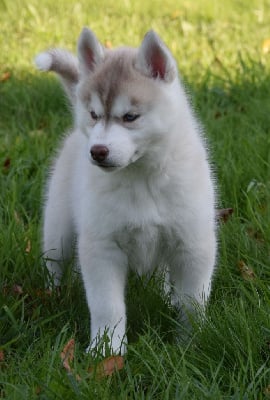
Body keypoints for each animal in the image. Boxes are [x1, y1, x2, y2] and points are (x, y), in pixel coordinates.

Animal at [35, 27, 217, 354]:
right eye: (94, 114)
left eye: (130, 116)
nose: (97, 151)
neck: (140, 177)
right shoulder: (102, 247)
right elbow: (107, 306)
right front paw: (106, 350)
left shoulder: (193, 244)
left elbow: (193, 301)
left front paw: (191, 342)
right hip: (59, 229)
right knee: (54, 264)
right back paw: (53, 297)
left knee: (160, 274)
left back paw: (163, 296)